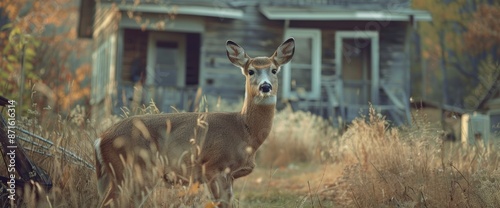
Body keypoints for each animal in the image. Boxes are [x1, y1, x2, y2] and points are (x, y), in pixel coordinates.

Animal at [94, 37, 292, 206]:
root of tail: (100, 139)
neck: (244, 130)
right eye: (251, 71)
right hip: (134, 171)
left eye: (274, 70)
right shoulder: (214, 167)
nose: (265, 86)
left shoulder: (230, 176)